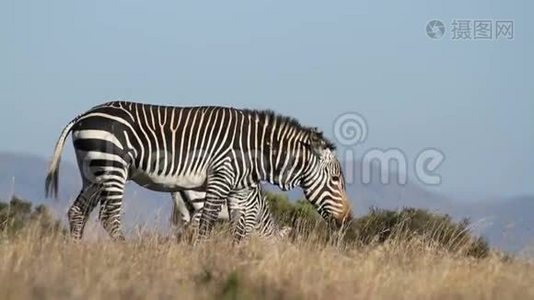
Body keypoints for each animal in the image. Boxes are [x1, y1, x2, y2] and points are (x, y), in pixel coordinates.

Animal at [45, 102, 352, 243]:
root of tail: (84, 115)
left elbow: (237, 232)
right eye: (336, 179)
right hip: (112, 169)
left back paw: (76, 256)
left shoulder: (238, 191)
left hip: (94, 174)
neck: (253, 152)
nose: (348, 220)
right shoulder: (220, 179)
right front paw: (203, 259)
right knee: (109, 218)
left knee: (77, 212)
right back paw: (126, 251)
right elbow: (207, 226)